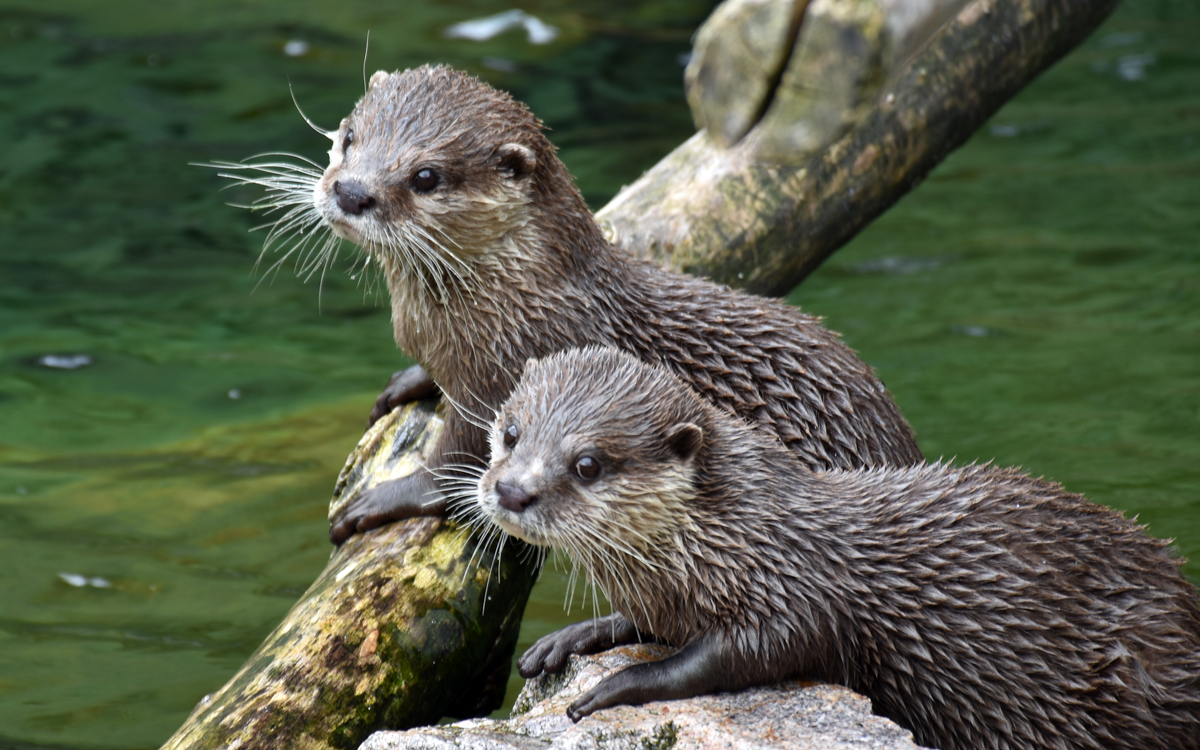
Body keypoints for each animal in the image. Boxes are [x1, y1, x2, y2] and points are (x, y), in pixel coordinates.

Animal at [250, 64, 916, 540]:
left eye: (426, 177)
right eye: (350, 136)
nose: (351, 190)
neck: (509, 300)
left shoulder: (506, 373)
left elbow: (453, 466)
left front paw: (385, 500)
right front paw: (410, 379)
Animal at [470, 345, 1200, 748]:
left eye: (587, 463)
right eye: (510, 431)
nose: (512, 490)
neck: (734, 534)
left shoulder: (796, 589)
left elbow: (737, 654)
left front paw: (616, 685)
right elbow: (644, 623)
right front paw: (572, 639)